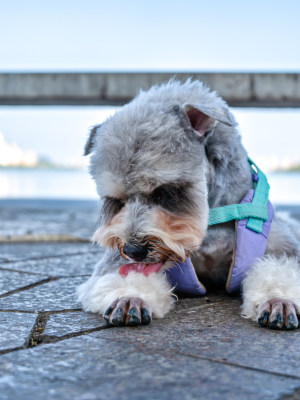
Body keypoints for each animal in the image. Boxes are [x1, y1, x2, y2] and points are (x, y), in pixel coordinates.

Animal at [77, 79, 300, 330]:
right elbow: (121, 274)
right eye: (117, 201)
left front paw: (278, 301)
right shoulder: (117, 260)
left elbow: (280, 268)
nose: (133, 251)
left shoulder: (280, 245)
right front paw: (129, 298)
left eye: (165, 192)